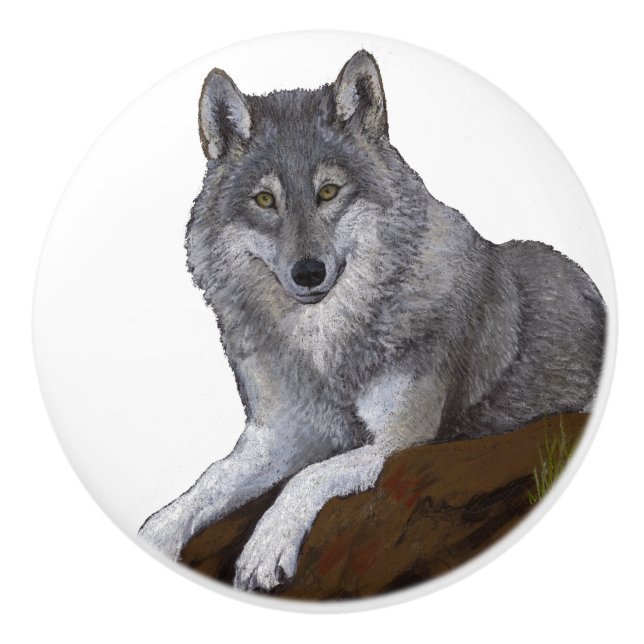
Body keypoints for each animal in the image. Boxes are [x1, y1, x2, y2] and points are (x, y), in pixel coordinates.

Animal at [139, 50, 606, 592]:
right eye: (264, 201)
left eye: (328, 192)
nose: (308, 272)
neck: (326, 348)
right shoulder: (279, 435)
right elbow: (208, 483)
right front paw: (157, 532)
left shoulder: (402, 441)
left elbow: (310, 476)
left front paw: (265, 547)